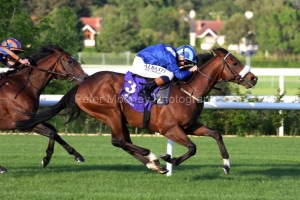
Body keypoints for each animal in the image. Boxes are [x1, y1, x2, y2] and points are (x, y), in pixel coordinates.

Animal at [0, 44, 88, 173]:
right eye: (69, 61)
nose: (86, 77)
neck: (22, 86)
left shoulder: (32, 118)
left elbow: (53, 130)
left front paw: (48, 158)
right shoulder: (23, 123)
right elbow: (52, 133)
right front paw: (75, 155)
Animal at [17, 47, 258, 174]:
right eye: (234, 63)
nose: (254, 78)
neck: (188, 90)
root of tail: (82, 83)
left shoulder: (190, 126)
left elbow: (216, 134)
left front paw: (226, 164)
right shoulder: (170, 129)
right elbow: (193, 148)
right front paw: (170, 159)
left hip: (119, 117)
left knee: (125, 142)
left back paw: (153, 164)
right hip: (110, 112)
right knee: (119, 141)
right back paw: (153, 158)